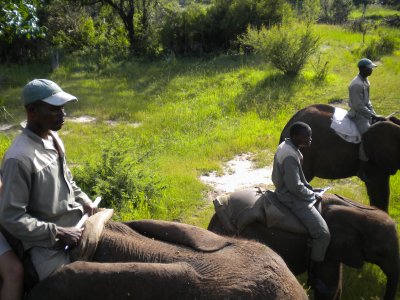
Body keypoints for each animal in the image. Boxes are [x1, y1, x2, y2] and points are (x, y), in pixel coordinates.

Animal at [208, 192, 398, 300]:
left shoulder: (334, 247)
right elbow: (327, 287)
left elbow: (335, 286)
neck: (359, 209)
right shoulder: (326, 241)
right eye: (380, 253)